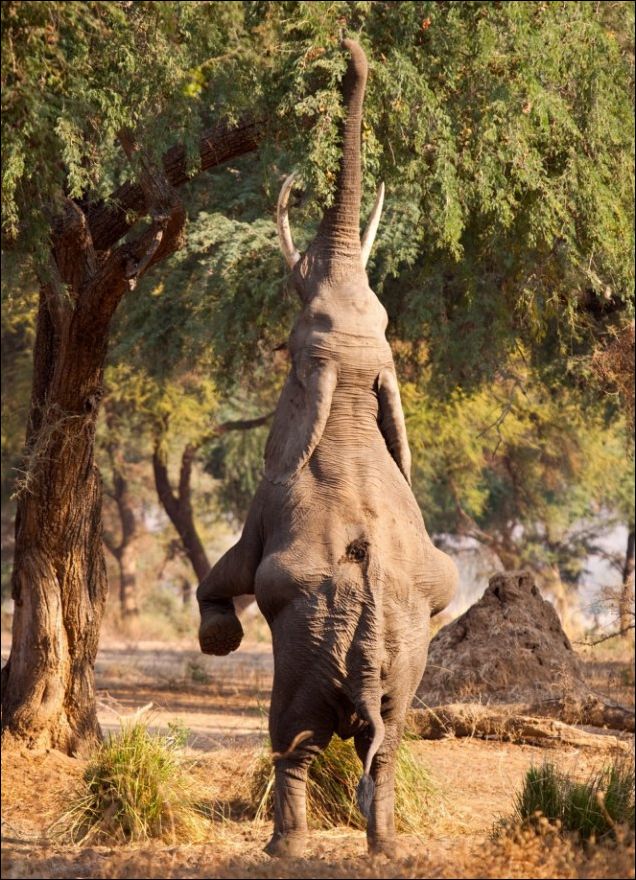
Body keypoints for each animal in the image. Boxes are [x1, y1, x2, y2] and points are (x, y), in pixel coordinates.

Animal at [196, 37, 460, 856]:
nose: (351, 51)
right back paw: (386, 849)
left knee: (294, 742)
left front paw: (219, 638)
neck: (342, 403)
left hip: (309, 658)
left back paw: (284, 848)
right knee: (391, 745)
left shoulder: (267, 495)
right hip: (405, 667)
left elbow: (231, 567)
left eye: (291, 341)